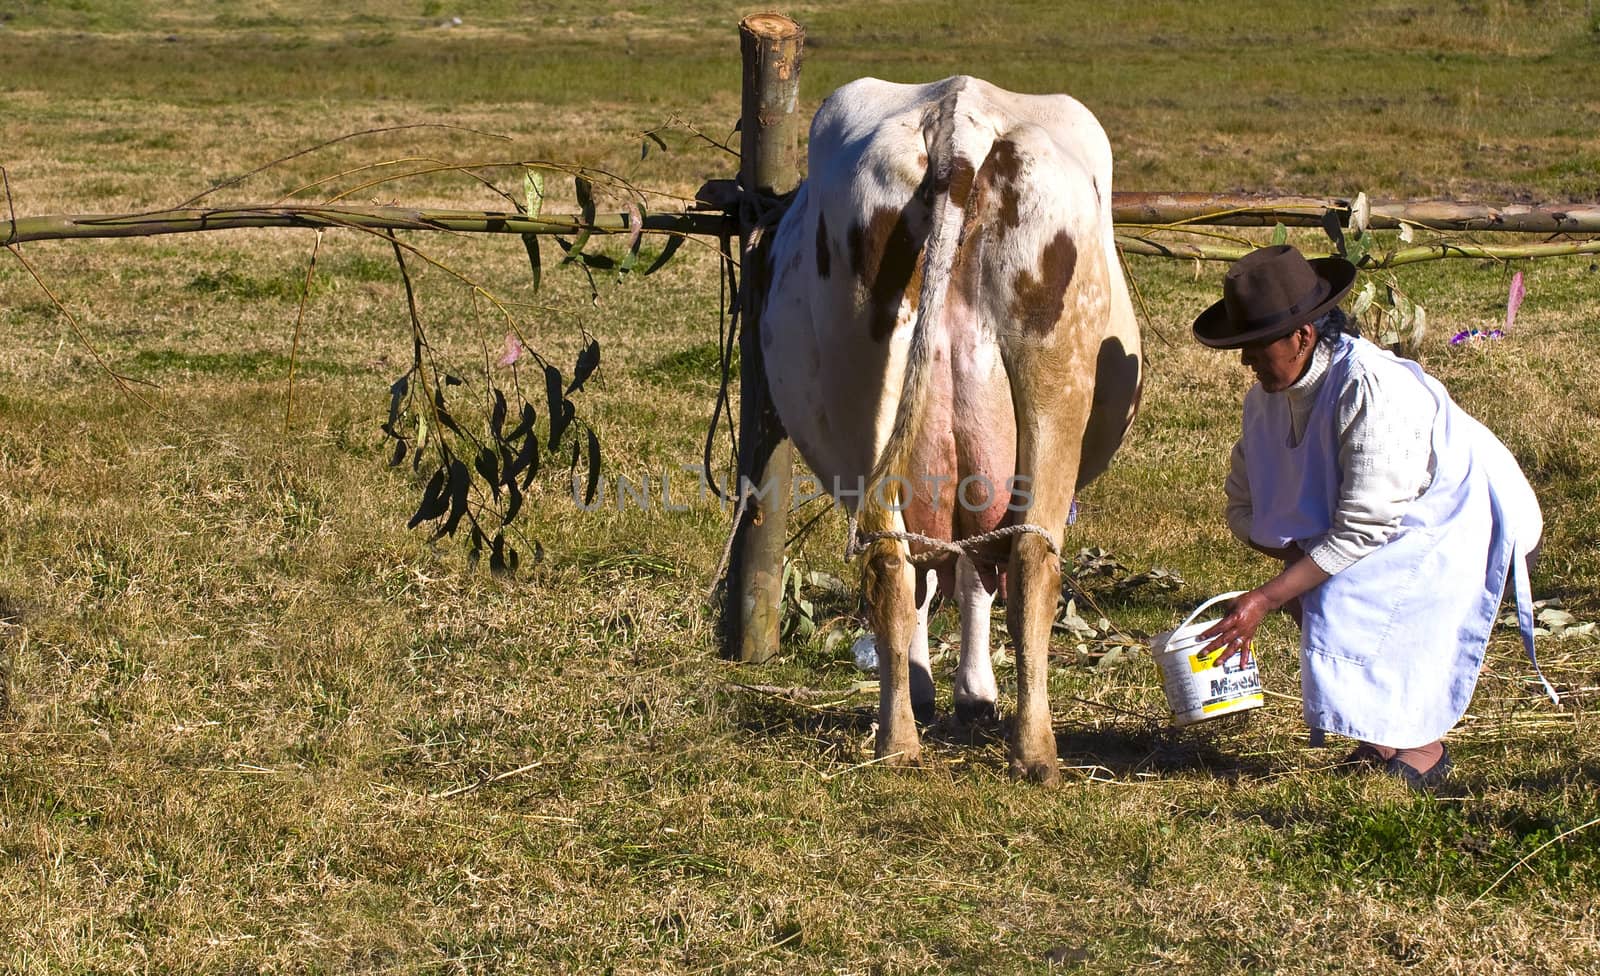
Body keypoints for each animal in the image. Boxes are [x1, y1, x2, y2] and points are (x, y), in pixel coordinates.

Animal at [758, 74, 1145, 784]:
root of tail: (957, 122)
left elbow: (945, 573)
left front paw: (935, 688)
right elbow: (970, 576)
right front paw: (973, 692)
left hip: (874, 392)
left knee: (895, 557)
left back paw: (901, 741)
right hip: (1057, 385)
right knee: (1025, 557)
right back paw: (1033, 749)